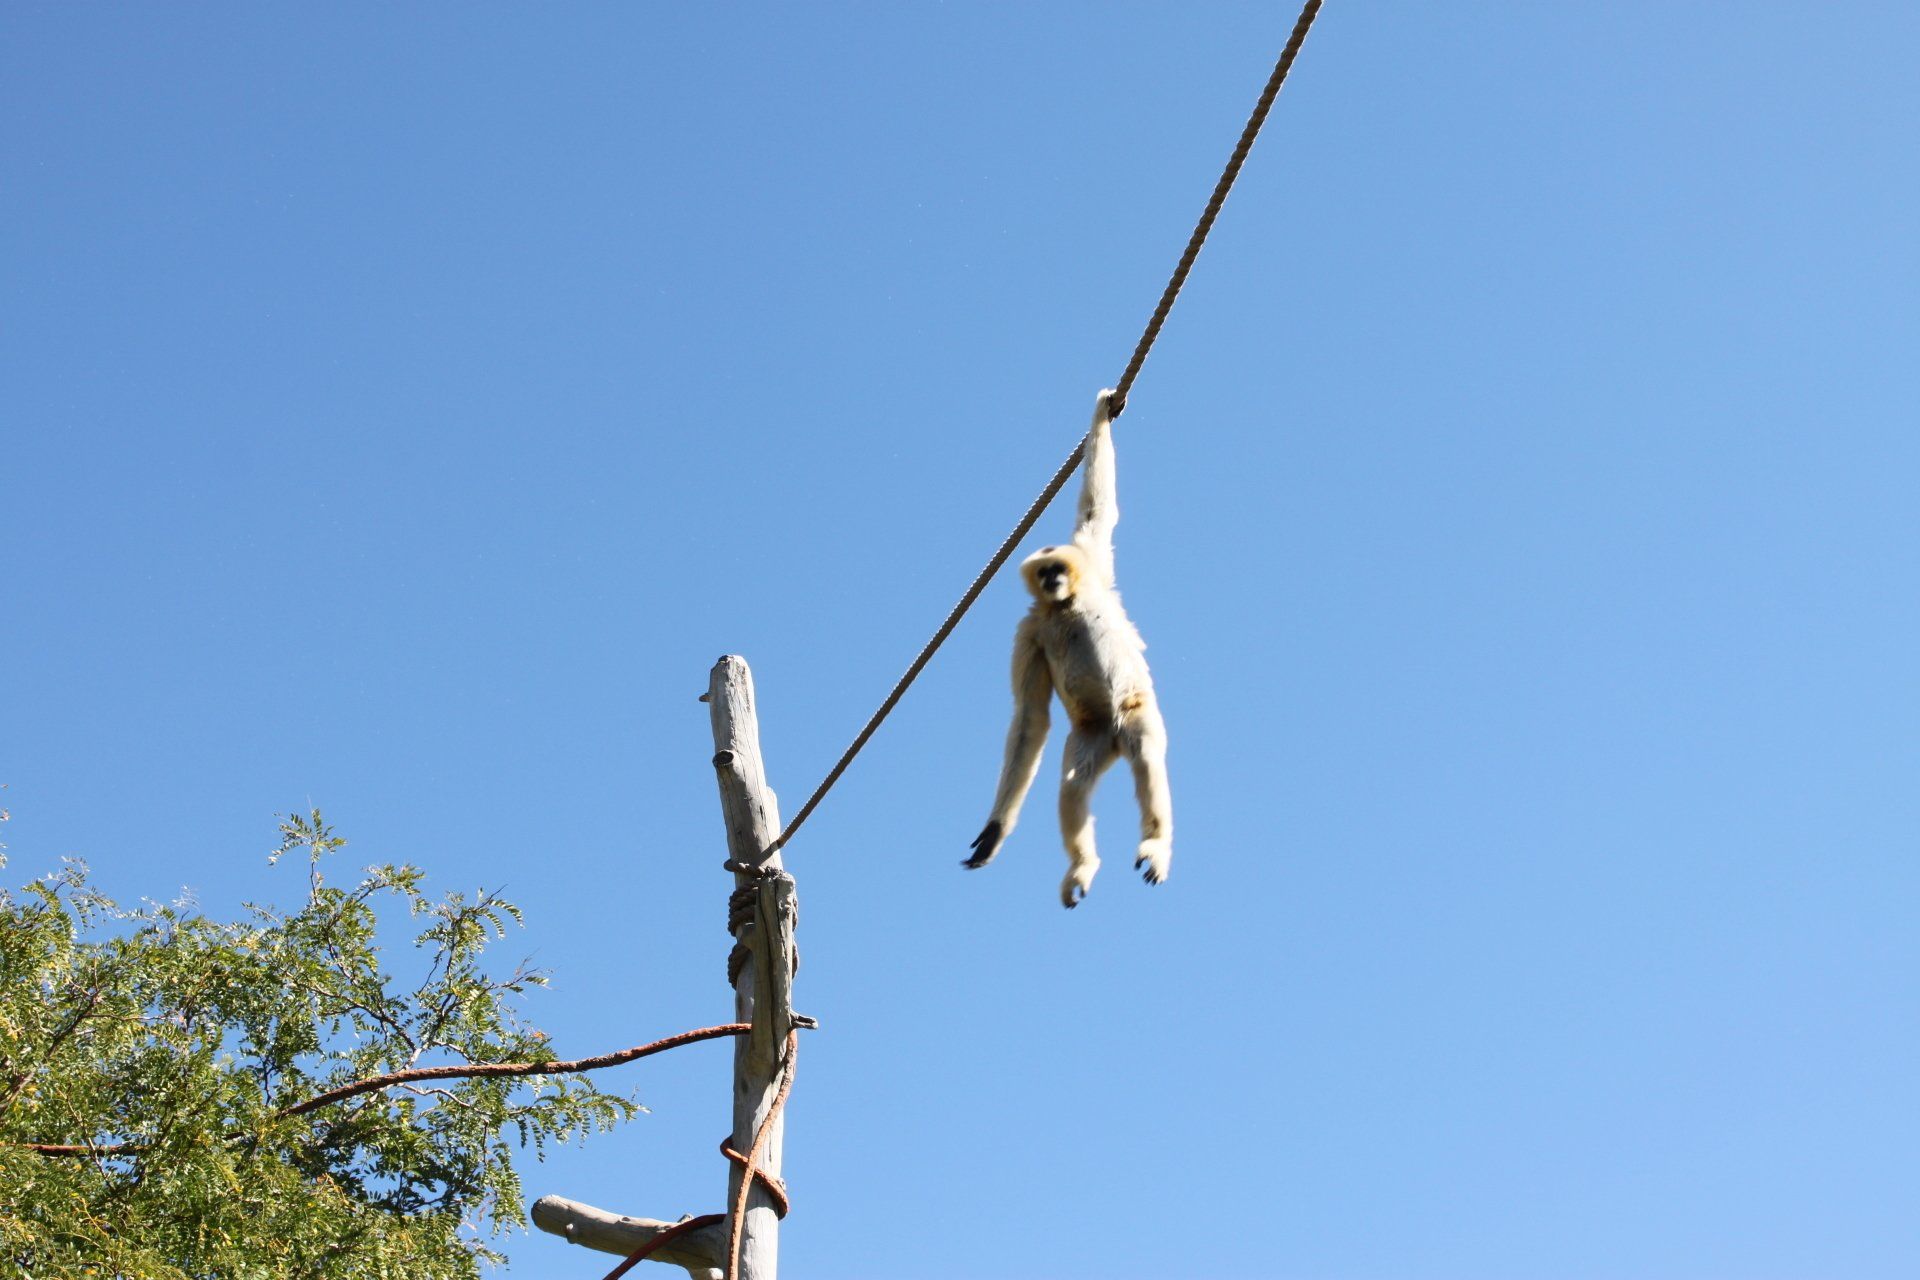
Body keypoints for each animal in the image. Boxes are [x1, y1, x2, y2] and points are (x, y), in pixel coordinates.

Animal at [965, 388, 1172, 908]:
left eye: (1057, 569)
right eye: (1044, 574)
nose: (1053, 580)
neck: (1064, 608)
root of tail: (1113, 734)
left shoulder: (1091, 565)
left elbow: (1098, 508)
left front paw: (1104, 411)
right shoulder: (1028, 634)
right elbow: (1029, 720)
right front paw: (994, 832)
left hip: (1135, 712)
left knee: (1146, 758)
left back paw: (1155, 845)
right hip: (1091, 732)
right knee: (1072, 787)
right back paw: (1083, 866)